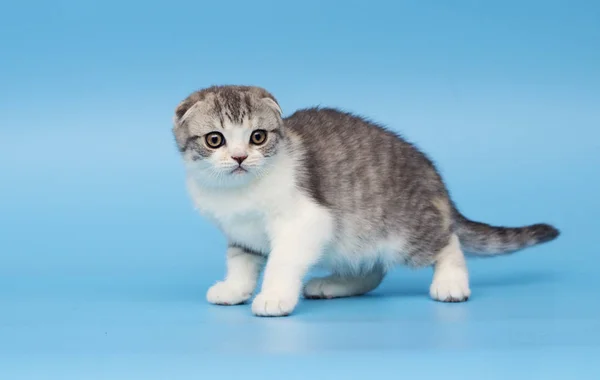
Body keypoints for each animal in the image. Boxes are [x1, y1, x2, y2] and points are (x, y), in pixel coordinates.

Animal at [171, 85, 560, 318]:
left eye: (257, 137)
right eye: (215, 139)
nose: (239, 158)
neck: (241, 191)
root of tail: (437, 184)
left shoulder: (306, 220)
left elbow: (282, 260)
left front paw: (274, 296)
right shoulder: (241, 230)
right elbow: (241, 260)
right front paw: (235, 288)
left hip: (403, 229)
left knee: (447, 240)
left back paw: (451, 283)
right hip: (356, 237)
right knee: (372, 270)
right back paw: (333, 284)